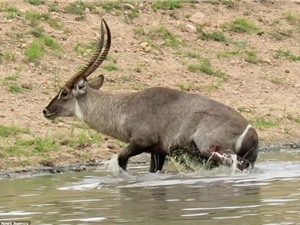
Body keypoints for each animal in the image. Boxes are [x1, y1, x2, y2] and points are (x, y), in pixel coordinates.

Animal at [43, 18, 258, 172]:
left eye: (63, 92)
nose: (46, 111)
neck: (125, 107)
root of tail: (251, 132)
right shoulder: (157, 152)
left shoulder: (141, 142)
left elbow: (121, 160)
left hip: (213, 150)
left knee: (238, 165)